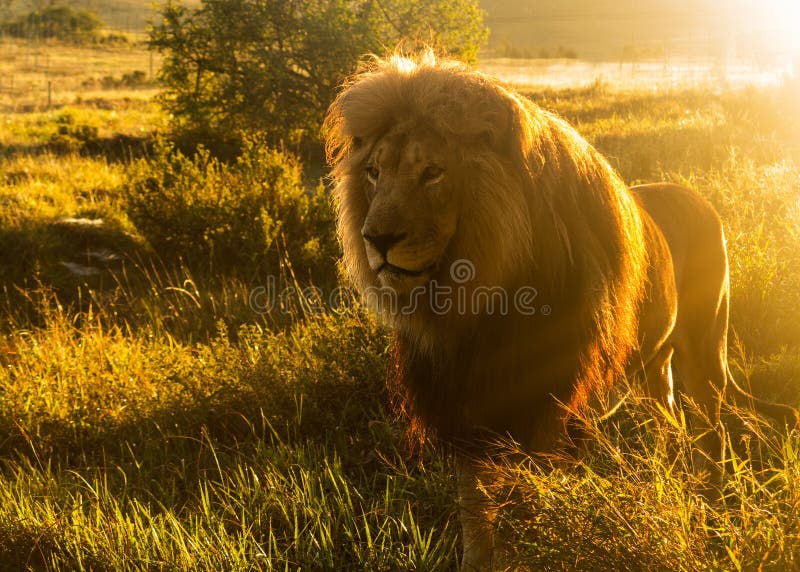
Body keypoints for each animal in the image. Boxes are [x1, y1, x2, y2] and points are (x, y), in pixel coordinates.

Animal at [324, 51, 792, 568]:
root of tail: (696, 195)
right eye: (373, 173)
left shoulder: (548, 410)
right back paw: (669, 484)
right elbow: (475, 512)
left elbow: (530, 508)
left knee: (713, 436)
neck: (474, 310)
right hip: (653, 366)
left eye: (433, 173)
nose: (377, 240)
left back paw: (710, 510)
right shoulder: (470, 407)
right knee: (669, 424)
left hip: (707, 352)